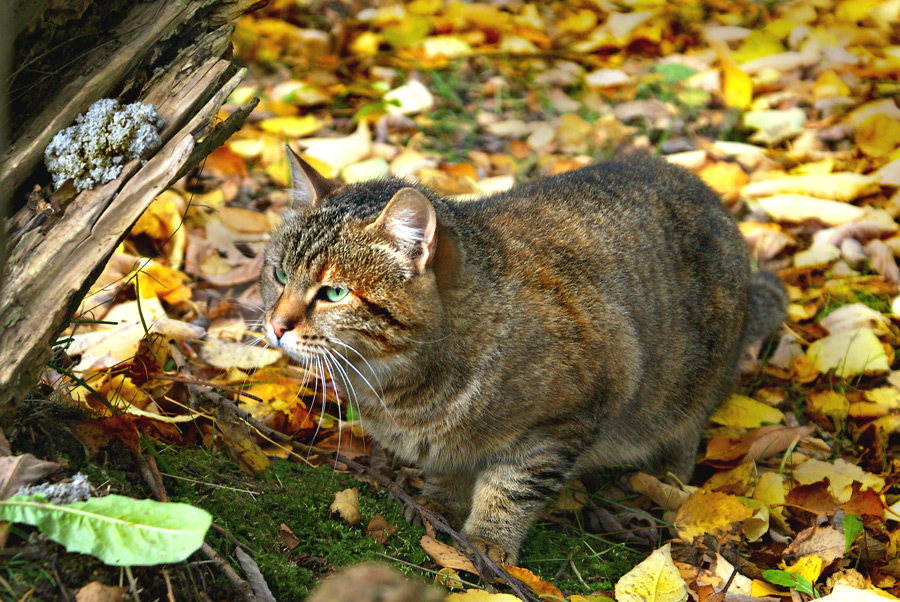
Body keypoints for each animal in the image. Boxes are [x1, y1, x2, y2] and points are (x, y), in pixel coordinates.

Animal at [260, 145, 788, 564]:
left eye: (334, 293)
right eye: (279, 275)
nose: (275, 324)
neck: (400, 389)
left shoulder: (563, 422)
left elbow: (512, 488)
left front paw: (487, 540)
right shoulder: (443, 447)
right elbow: (445, 473)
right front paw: (439, 507)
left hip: (684, 396)